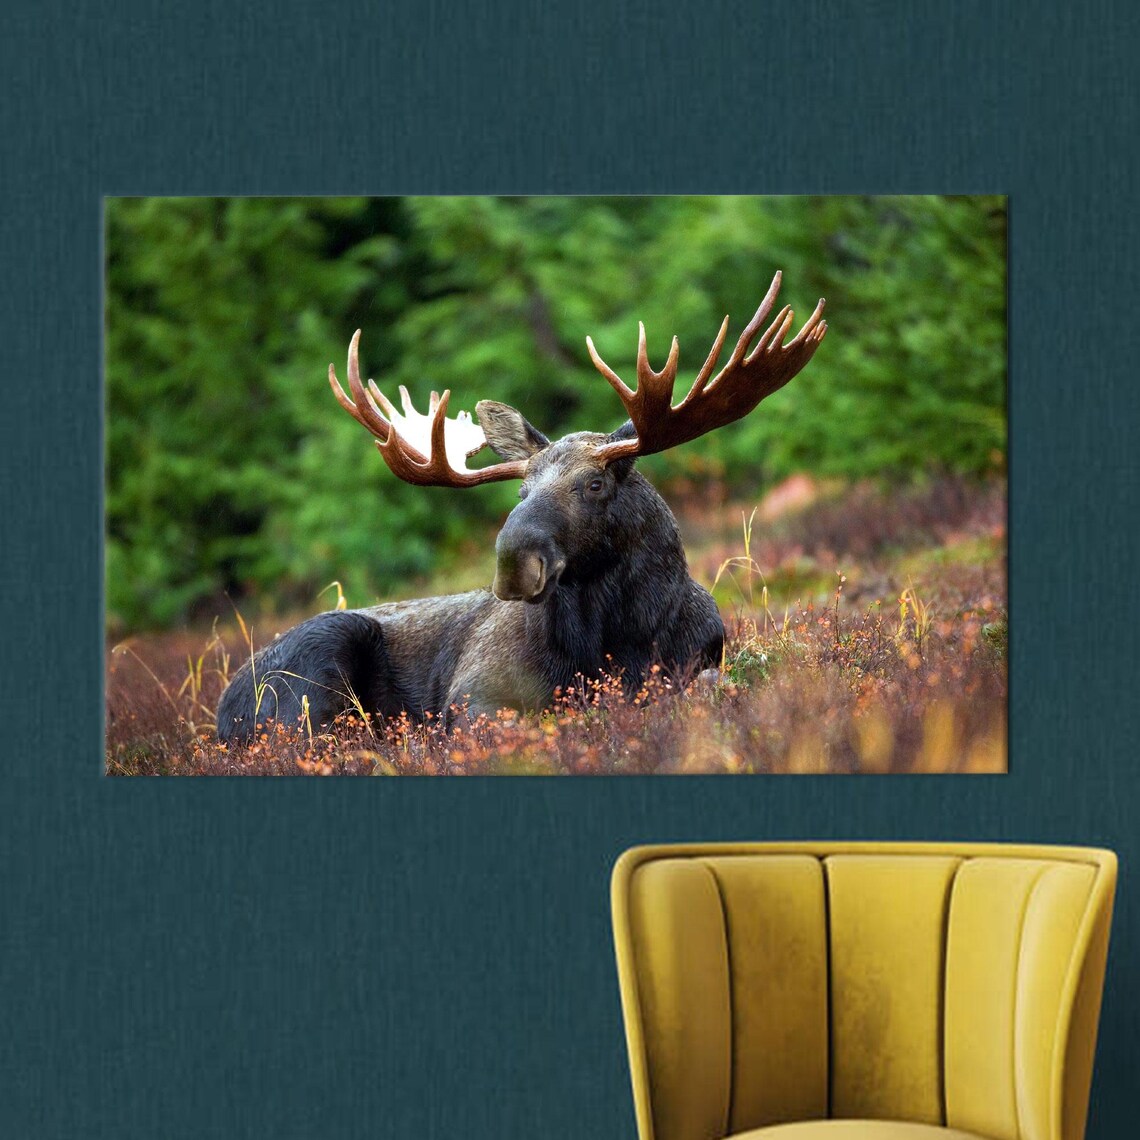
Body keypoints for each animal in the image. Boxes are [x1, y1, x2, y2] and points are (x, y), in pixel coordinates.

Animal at [215, 271, 826, 744]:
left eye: (595, 484)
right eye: (521, 491)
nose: (513, 562)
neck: (617, 640)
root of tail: (221, 712)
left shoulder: (699, 663)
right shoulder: (473, 695)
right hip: (316, 669)